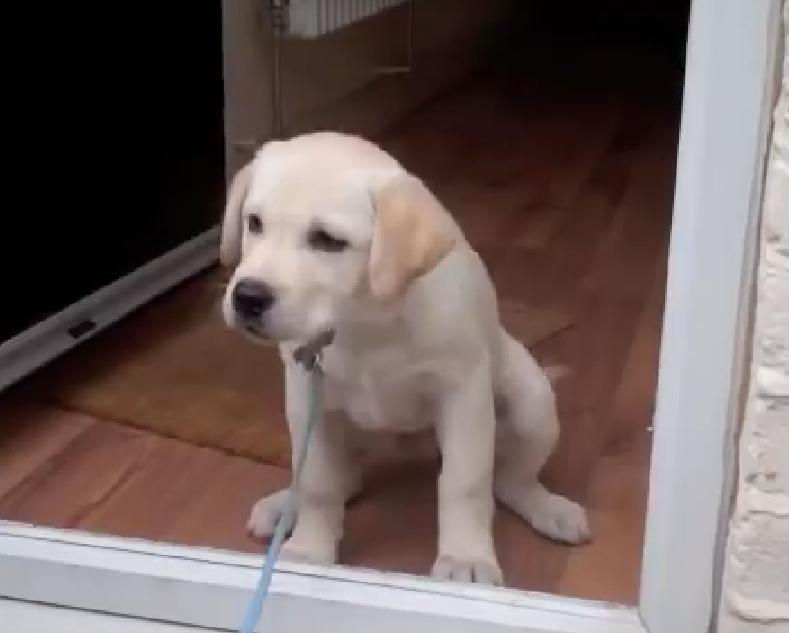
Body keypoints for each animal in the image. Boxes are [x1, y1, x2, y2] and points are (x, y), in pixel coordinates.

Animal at [219, 131, 588, 584]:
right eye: (254, 223)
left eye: (328, 240)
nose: (248, 297)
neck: (365, 322)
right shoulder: (309, 396)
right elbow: (319, 483)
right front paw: (309, 550)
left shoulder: (463, 395)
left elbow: (464, 483)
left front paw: (465, 558)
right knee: (342, 479)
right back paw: (283, 505)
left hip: (532, 405)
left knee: (508, 480)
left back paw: (550, 508)